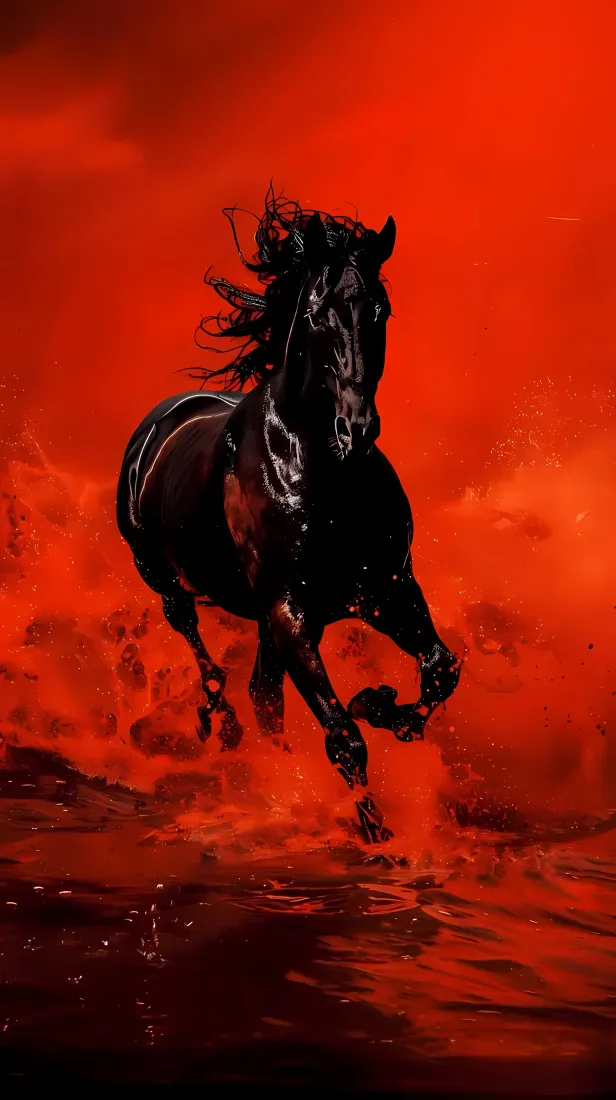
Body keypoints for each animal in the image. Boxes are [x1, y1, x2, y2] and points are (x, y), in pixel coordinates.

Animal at [116, 191, 461, 842]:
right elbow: (345, 738)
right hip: (168, 581)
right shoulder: (290, 612)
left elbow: (440, 669)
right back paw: (223, 729)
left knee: (264, 694)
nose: (357, 430)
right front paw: (380, 838)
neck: (323, 473)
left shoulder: (386, 589)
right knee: (208, 658)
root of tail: (157, 425)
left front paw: (380, 704)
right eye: (319, 314)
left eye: (381, 311)